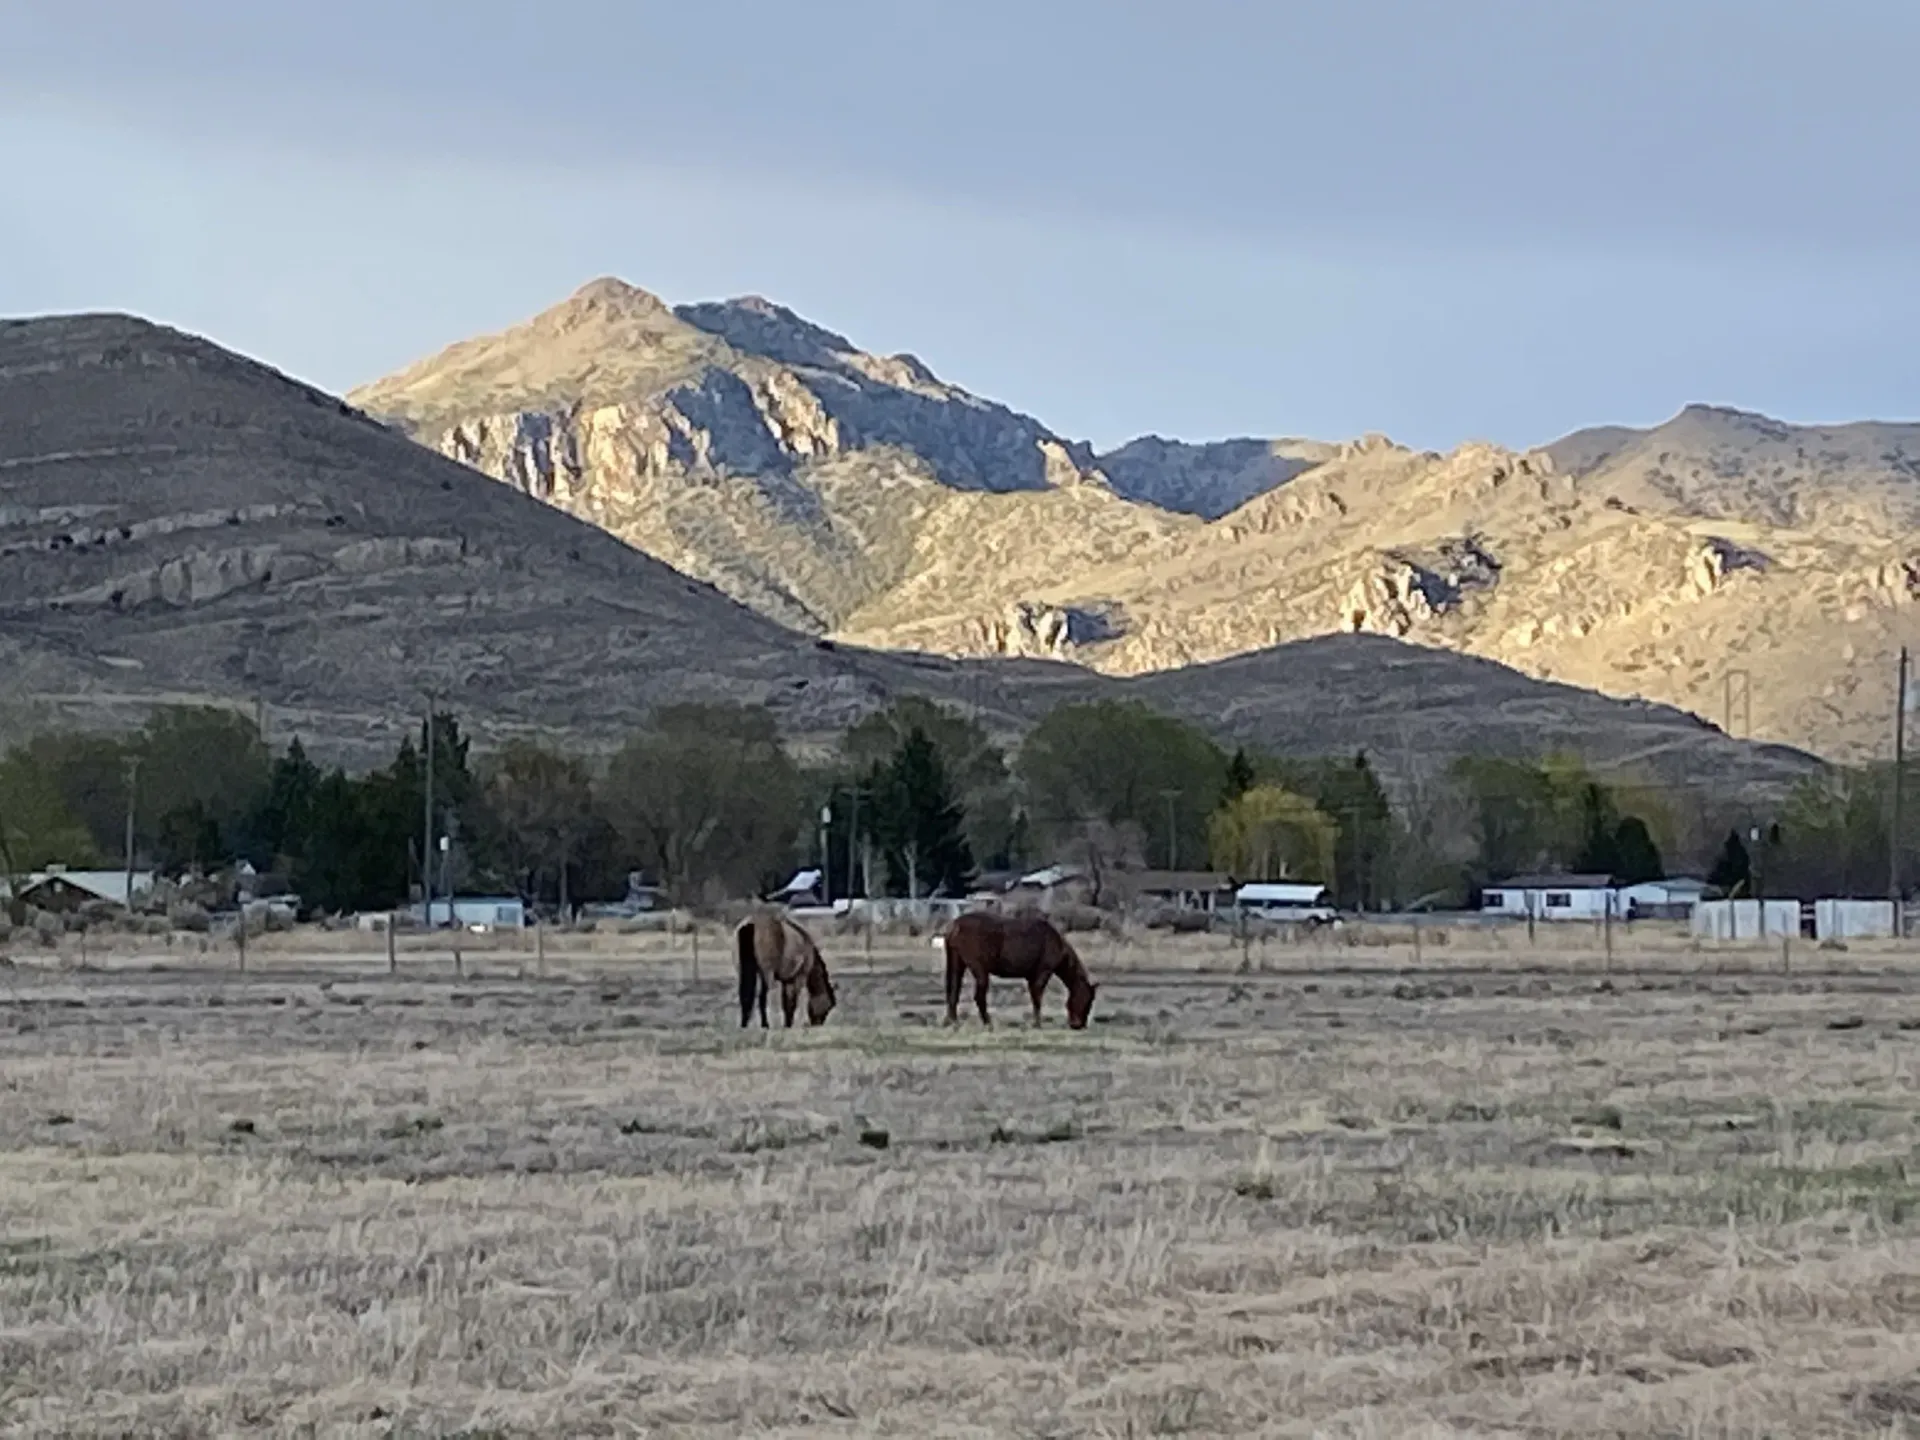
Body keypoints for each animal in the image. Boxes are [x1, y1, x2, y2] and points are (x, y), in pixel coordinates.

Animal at [943, 909, 1098, 1029]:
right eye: (1088, 1001)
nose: (1079, 1025)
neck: (1057, 944)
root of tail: (955, 925)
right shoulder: (1043, 972)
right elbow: (1037, 996)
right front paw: (1037, 1024)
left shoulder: (1031, 977)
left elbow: (1034, 996)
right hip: (979, 970)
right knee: (979, 996)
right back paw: (988, 1023)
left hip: (957, 964)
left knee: (954, 991)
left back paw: (953, 1022)